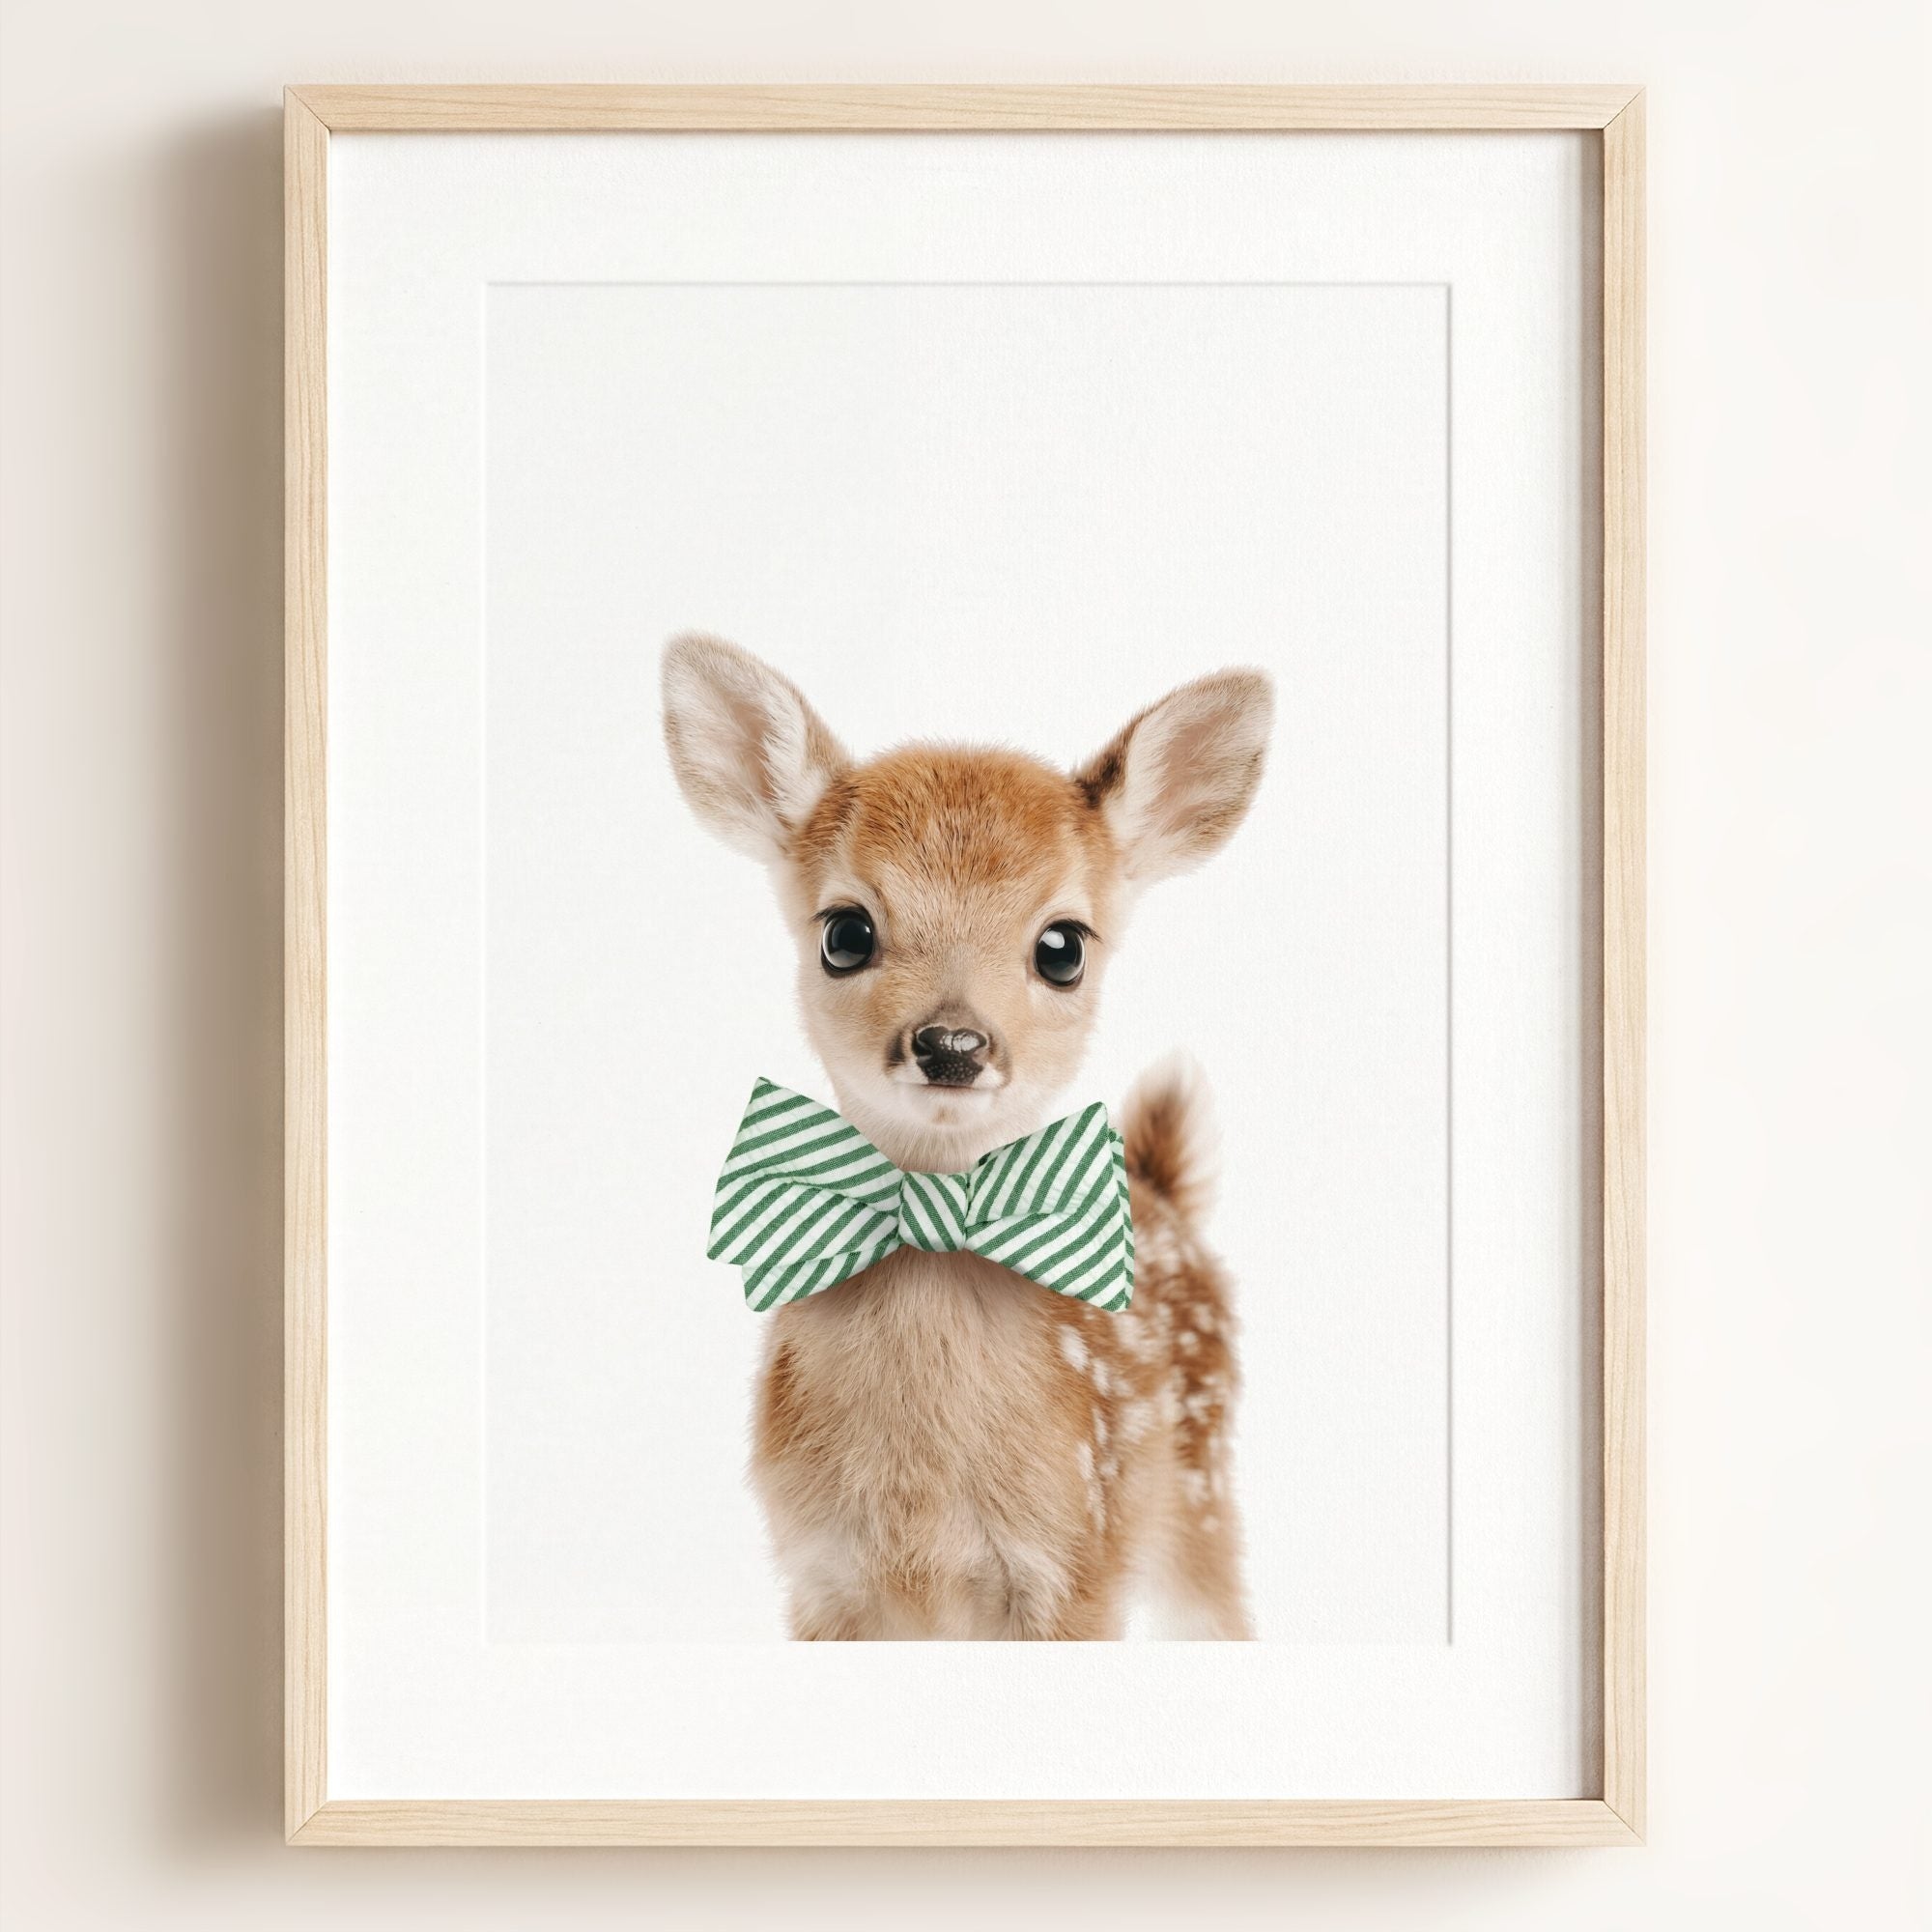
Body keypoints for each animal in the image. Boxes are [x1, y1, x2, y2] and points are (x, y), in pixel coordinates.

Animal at [662, 634, 1273, 1639]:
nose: (952, 1044)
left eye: (1063, 947)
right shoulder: (820, 1576)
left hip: (1203, 1496)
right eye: (845, 932)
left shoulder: (1076, 1566)